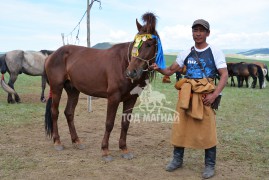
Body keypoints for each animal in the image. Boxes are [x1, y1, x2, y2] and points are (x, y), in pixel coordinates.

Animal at [44, 12, 159, 162]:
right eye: (135, 43)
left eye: (149, 44)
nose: (131, 72)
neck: (123, 62)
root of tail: (51, 55)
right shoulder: (113, 98)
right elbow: (109, 123)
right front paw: (105, 151)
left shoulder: (131, 99)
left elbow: (125, 123)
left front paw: (124, 149)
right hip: (56, 88)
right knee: (55, 112)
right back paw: (57, 142)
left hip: (73, 90)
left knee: (69, 113)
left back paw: (77, 141)